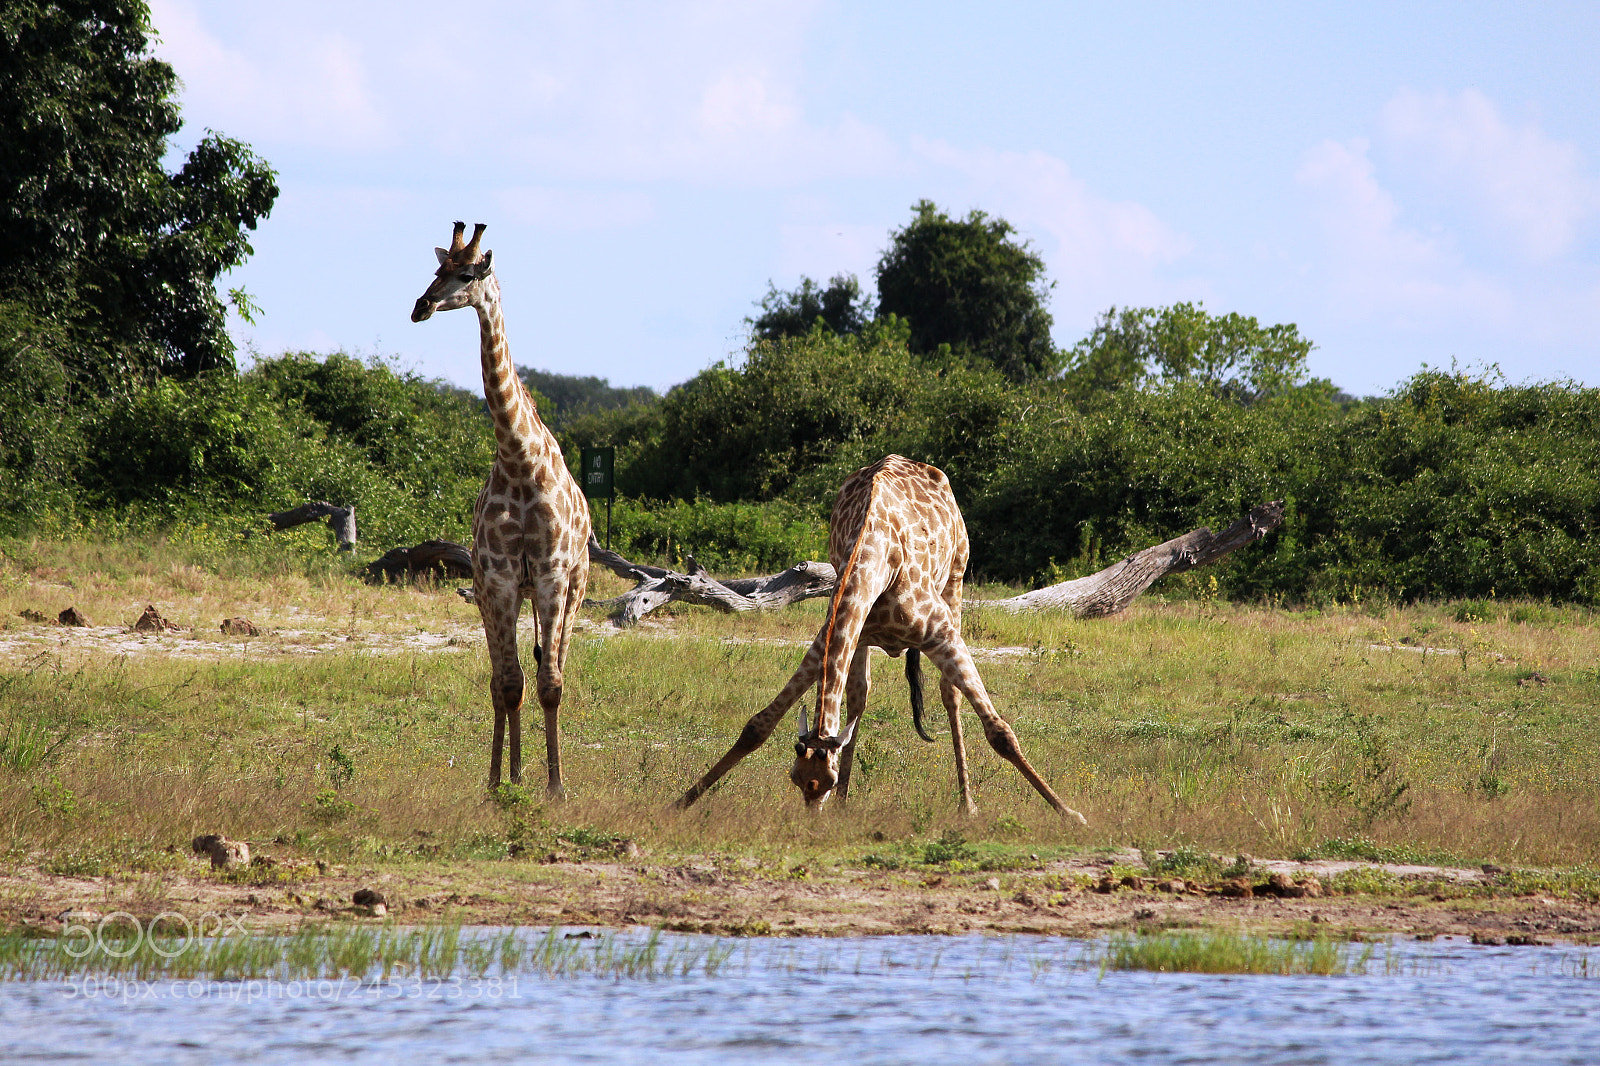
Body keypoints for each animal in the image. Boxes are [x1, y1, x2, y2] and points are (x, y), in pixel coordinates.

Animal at [411, 222, 591, 798]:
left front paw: (556, 787)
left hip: (574, 589)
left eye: (469, 273)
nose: (420, 306)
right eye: (437, 269)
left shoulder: (552, 574)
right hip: (494, 596)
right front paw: (500, 783)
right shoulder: (500, 577)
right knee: (502, 681)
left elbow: (551, 684)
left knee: (547, 671)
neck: (518, 458)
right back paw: (506, 774)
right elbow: (510, 684)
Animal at [676, 454, 1087, 823]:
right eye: (795, 779)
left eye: (822, 783)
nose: (813, 817)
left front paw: (1068, 812)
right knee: (858, 698)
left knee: (949, 695)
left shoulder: (941, 633)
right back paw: (847, 803)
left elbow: (999, 731)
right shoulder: (830, 636)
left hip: (956, 581)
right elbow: (758, 725)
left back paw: (966, 803)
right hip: (862, 640)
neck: (876, 563)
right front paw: (681, 801)